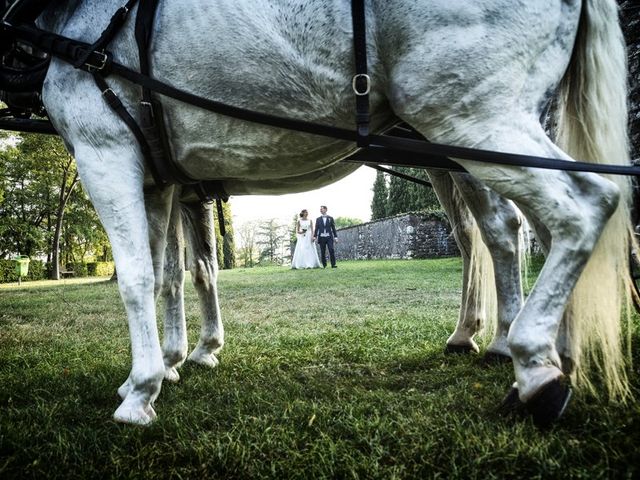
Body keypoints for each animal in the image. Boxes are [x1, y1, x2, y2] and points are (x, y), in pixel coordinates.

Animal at [37, 0, 632, 428]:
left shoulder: (105, 147)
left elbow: (141, 276)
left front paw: (144, 388)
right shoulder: (161, 179)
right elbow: (177, 273)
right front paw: (176, 360)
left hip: (473, 121)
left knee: (567, 211)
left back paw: (530, 359)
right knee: (499, 232)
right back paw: (533, 348)